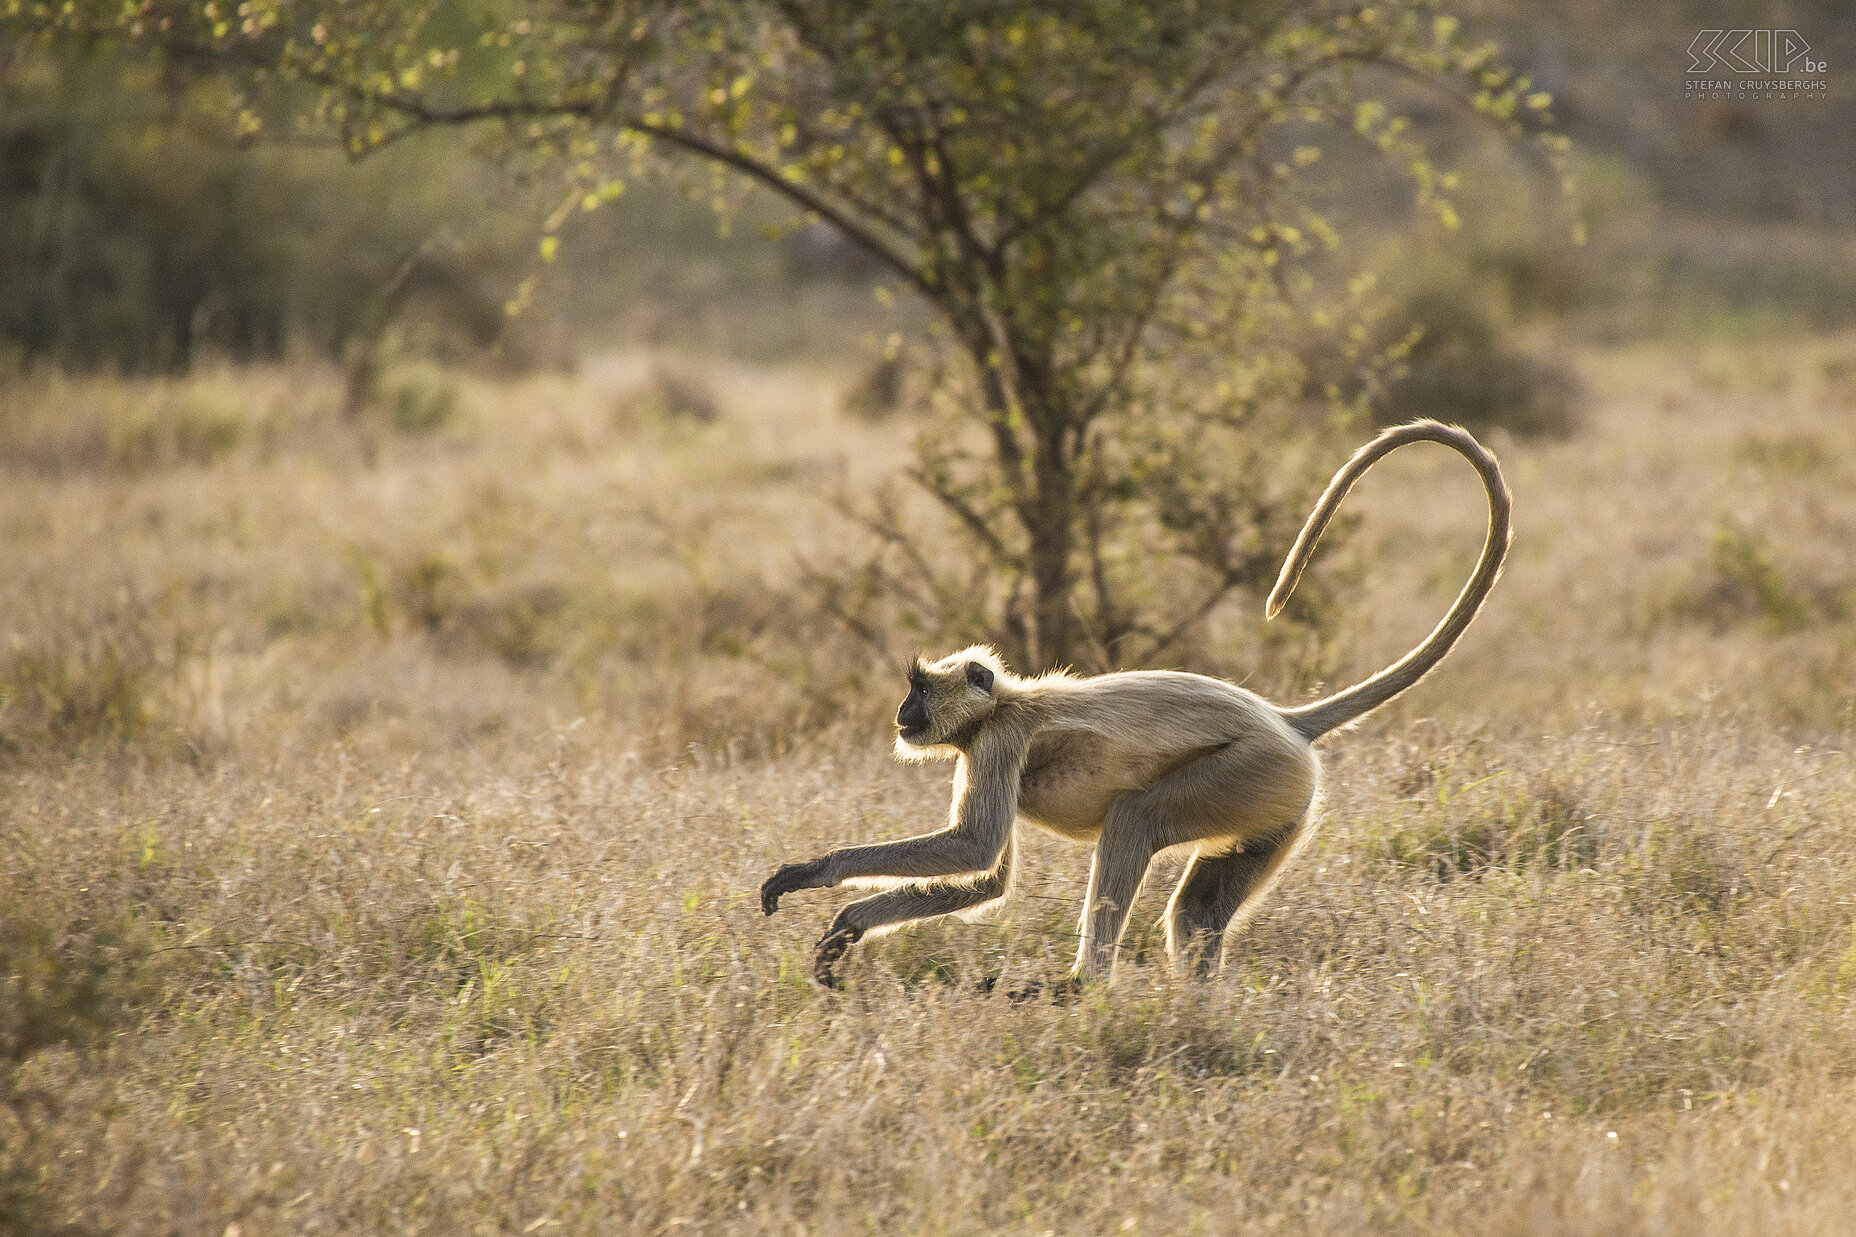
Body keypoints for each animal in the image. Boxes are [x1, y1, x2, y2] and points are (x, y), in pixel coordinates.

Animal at [757, 419, 1507, 988]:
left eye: (917, 688)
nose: (901, 714)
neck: (1002, 705)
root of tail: (1285, 721)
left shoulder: (997, 743)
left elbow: (972, 847)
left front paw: (816, 872)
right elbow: (985, 881)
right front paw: (849, 926)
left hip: (1249, 773)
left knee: (1134, 817)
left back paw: (1082, 983)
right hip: (1278, 806)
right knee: (1195, 916)